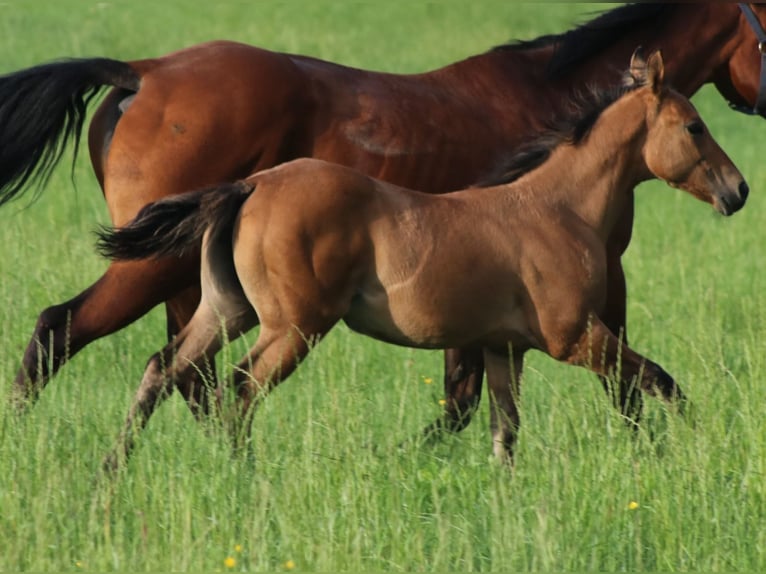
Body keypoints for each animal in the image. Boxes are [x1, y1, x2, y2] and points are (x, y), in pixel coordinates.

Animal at [4, 4, 766, 434]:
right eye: (695, 128)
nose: (740, 190)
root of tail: (141, 71)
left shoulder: (499, 319)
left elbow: (476, 405)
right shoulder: (586, 297)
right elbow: (628, 383)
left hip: (202, 288)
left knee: (181, 374)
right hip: (177, 277)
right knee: (67, 332)